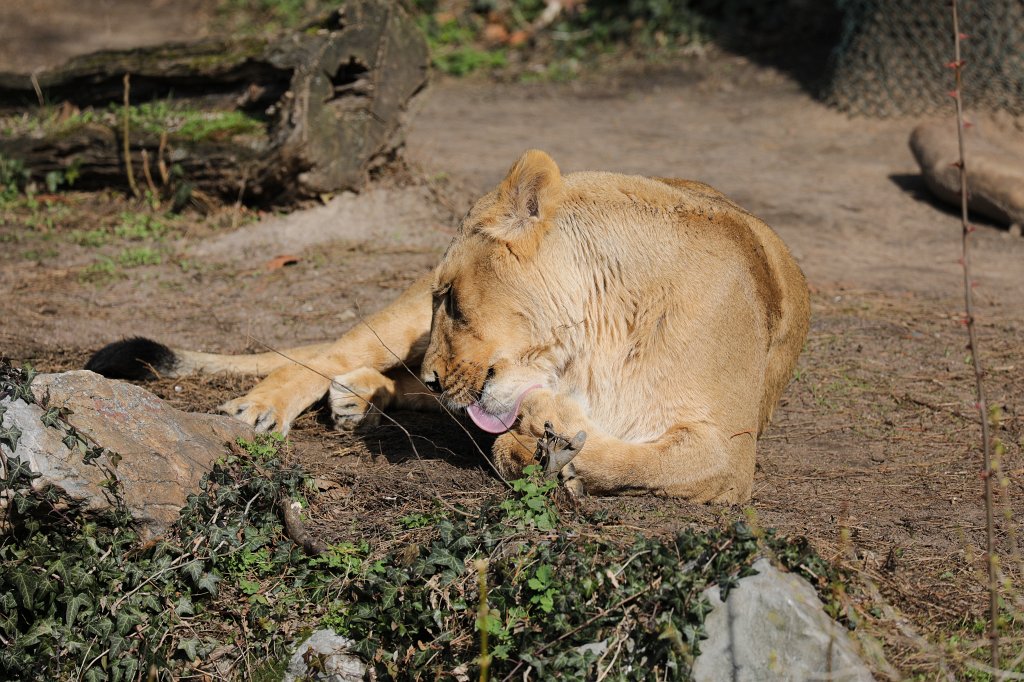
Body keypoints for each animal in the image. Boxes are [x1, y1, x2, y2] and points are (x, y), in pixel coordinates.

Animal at [86, 150, 810, 502]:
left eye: (455, 301)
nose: (437, 374)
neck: (595, 336)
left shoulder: (730, 449)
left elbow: (648, 458)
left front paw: (548, 447)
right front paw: (538, 442)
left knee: (401, 388)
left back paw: (362, 398)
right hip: (398, 320)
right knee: (326, 355)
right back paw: (266, 406)